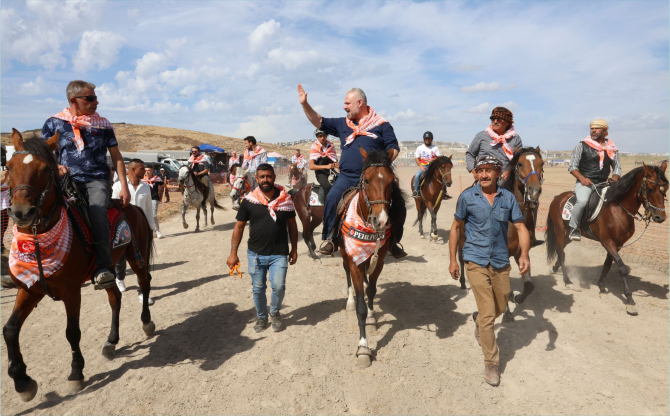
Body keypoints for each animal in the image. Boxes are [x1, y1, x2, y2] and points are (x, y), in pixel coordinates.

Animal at [2, 129, 155, 400]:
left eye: (45, 169)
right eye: (9, 167)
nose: (21, 212)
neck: (39, 243)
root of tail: (132, 206)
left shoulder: (71, 291)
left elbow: (71, 332)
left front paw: (76, 373)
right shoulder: (30, 289)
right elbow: (10, 329)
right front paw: (22, 381)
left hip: (135, 257)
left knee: (144, 283)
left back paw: (147, 323)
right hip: (107, 267)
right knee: (115, 297)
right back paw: (111, 341)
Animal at [338, 147, 396, 368]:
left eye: (391, 181)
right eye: (368, 181)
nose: (381, 220)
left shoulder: (379, 261)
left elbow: (371, 290)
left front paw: (371, 317)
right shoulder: (354, 261)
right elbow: (360, 307)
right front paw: (363, 348)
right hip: (345, 255)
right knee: (348, 276)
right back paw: (349, 300)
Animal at [548, 162, 668, 316]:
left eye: (665, 189)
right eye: (651, 189)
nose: (660, 217)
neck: (618, 209)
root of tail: (558, 197)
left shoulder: (618, 244)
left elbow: (607, 264)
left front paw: (602, 288)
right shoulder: (608, 242)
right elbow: (622, 268)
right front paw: (630, 300)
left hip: (569, 234)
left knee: (560, 247)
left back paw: (555, 268)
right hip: (559, 230)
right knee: (561, 252)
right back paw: (567, 281)